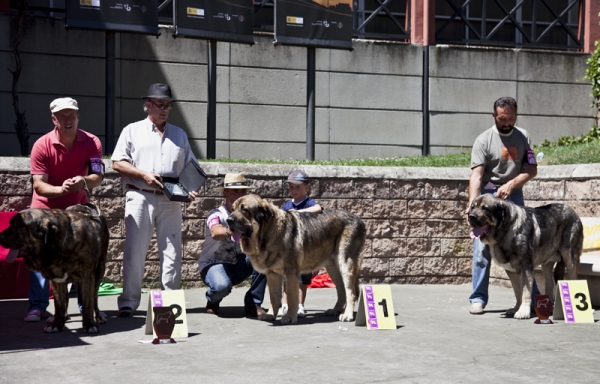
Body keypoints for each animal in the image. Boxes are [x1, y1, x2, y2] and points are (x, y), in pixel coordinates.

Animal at [0, 204, 109, 332]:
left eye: (21, 226)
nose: (0, 236)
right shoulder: (57, 279)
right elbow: (59, 303)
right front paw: (56, 323)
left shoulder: (87, 277)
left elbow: (88, 302)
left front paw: (89, 324)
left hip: (100, 270)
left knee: (94, 297)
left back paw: (98, 316)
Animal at [225, 195, 366, 324]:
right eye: (232, 209)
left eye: (244, 210)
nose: (228, 220)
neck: (268, 232)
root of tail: (359, 219)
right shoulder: (272, 274)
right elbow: (274, 297)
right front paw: (270, 315)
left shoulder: (291, 273)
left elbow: (292, 297)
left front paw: (290, 317)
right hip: (333, 268)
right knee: (341, 290)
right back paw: (335, 310)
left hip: (346, 264)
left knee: (350, 292)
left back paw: (347, 315)